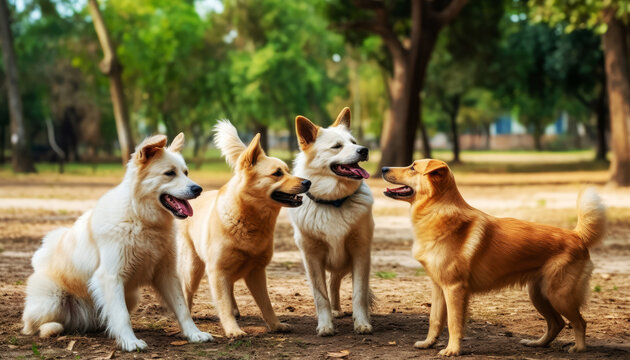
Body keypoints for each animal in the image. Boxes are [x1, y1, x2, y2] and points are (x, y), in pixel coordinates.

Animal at [22, 134, 215, 350]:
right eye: (169, 173)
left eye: (186, 172)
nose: (198, 189)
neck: (141, 219)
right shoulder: (111, 277)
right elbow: (121, 316)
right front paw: (131, 342)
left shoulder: (166, 274)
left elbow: (183, 309)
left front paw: (194, 334)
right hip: (52, 299)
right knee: (33, 325)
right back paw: (51, 328)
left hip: (130, 296)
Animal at [178, 121, 312, 338]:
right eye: (277, 173)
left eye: (287, 170)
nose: (308, 182)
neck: (248, 219)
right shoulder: (218, 271)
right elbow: (222, 303)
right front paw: (233, 329)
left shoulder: (257, 271)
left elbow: (266, 304)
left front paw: (276, 325)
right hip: (193, 269)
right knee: (187, 292)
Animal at [288, 107, 376, 338]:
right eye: (337, 146)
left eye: (354, 142)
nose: (364, 150)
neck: (334, 201)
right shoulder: (312, 257)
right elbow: (321, 296)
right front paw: (325, 325)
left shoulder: (360, 253)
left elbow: (359, 293)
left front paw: (362, 323)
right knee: (331, 284)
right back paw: (334, 312)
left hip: (346, 263)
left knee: (335, 282)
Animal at [380, 159, 608, 356]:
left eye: (412, 167)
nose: (382, 168)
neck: (437, 210)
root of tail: (576, 235)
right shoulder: (438, 287)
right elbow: (434, 320)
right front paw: (428, 343)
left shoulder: (454, 289)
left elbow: (453, 323)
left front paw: (452, 350)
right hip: (539, 294)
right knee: (556, 323)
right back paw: (537, 344)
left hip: (559, 295)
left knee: (579, 322)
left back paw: (578, 349)